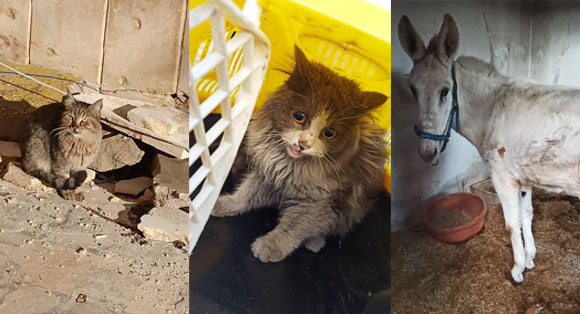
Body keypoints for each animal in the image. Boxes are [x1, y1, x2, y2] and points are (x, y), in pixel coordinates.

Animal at [211, 46, 388, 262]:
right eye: (299, 116)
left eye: (329, 133)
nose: (304, 144)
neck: (290, 165)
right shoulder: (267, 175)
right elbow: (244, 194)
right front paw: (224, 204)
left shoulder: (319, 202)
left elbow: (294, 226)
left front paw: (270, 246)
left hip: (350, 212)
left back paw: (314, 242)